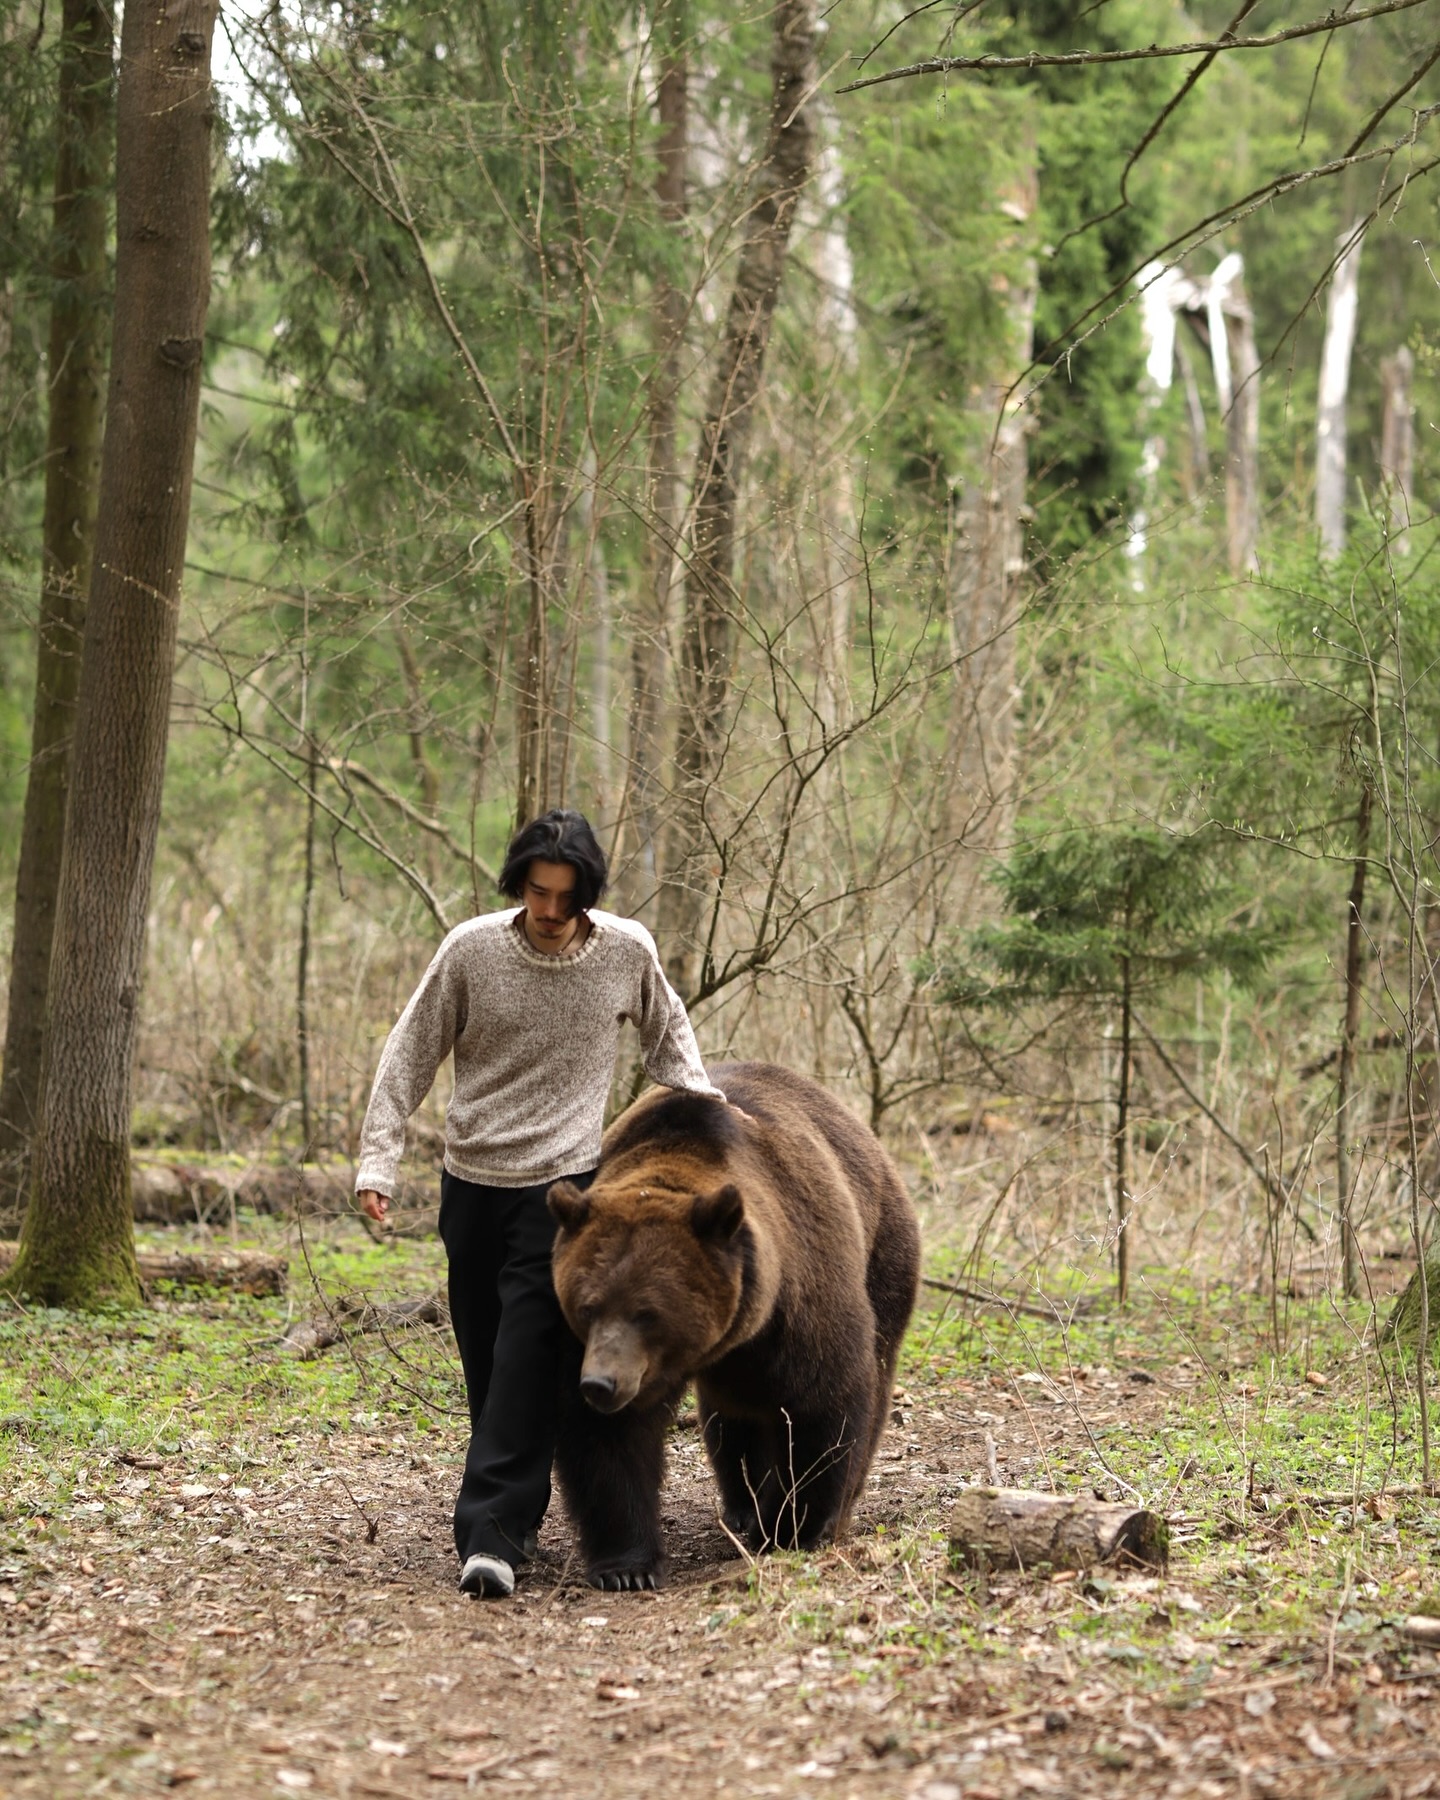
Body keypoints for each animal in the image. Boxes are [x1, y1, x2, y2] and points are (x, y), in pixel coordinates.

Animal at [547, 1058, 918, 1598]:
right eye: (588, 1306)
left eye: (647, 1312)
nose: (602, 1383)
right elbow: (609, 1441)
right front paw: (628, 1566)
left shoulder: (801, 1301)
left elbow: (822, 1403)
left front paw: (792, 1528)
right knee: (732, 1417)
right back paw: (742, 1505)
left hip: (885, 1253)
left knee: (874, 1377)